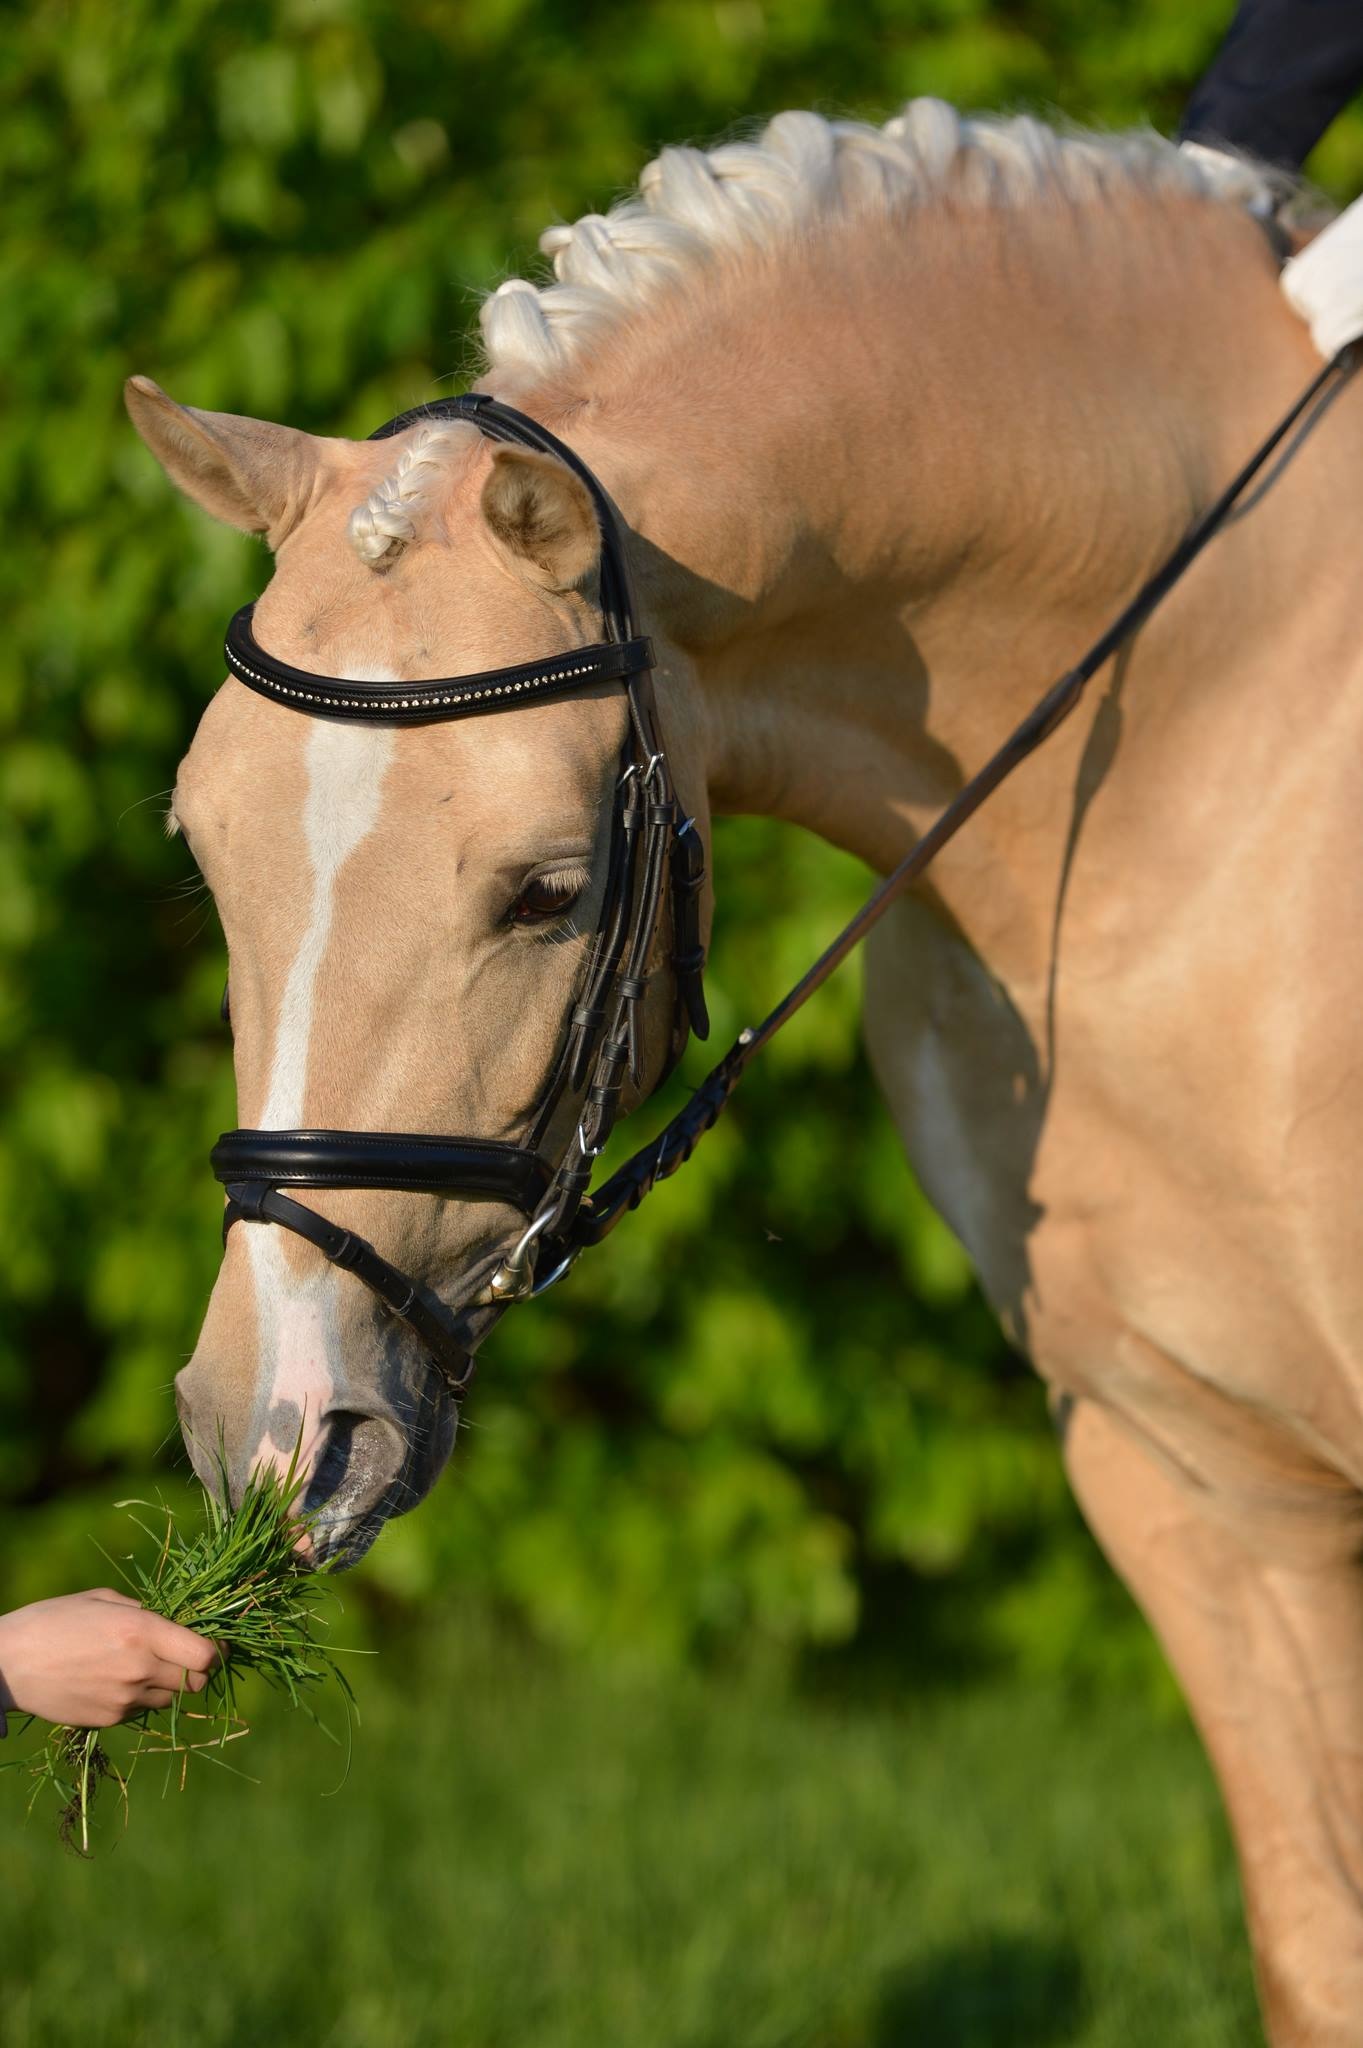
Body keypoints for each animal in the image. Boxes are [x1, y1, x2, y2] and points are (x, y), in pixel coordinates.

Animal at [124, 99, 1350, 2048]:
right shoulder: (1186, 1475)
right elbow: (1317, 1947)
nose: (274, 1432)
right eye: (206, 853)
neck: (1204, 767)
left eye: (547, 891)